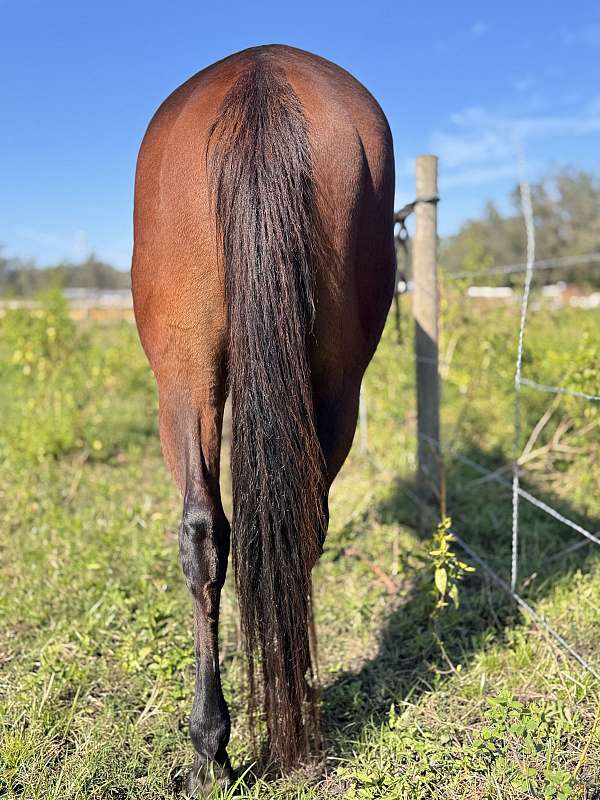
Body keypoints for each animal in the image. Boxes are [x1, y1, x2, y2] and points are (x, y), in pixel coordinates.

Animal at [131, 47, 394, 796]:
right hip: (328, 382)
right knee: (282, 526)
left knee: (204, 534)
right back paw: (284, 727)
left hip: (184, 378)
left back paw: (212, 748)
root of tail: (261, 75)